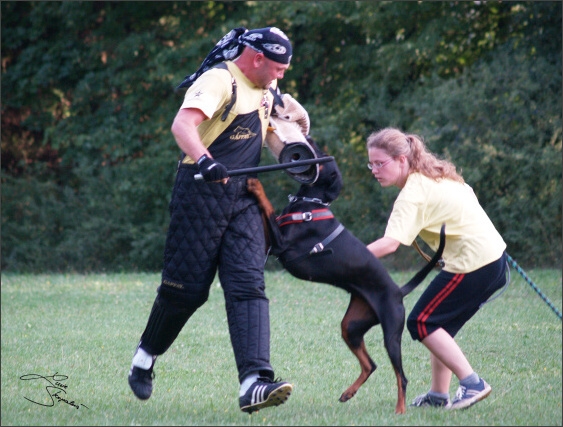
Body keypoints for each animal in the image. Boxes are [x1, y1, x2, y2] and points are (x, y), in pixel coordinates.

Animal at [248, 135, 446, 414]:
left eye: (319, 152)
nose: (308, 137)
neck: (310, 205)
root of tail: (398, 291)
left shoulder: (281, 244)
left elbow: (267, 207)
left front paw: (255, 184)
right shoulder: (274, 243)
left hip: (391, 332)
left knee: (401, 376)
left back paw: (400, 410)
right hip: (351, 325)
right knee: (370, 364)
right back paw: (348, 393)